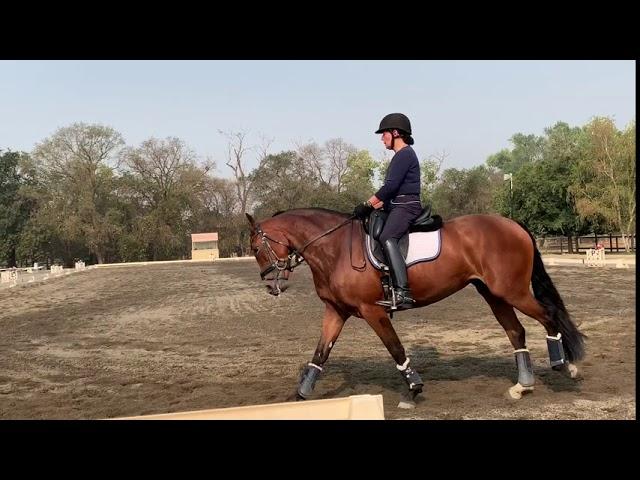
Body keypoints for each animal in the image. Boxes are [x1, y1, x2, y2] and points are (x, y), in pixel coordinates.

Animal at [244, 208, 584, 406]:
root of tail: (514, 225)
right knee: (516, 331)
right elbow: (320, 354)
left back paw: (565, 366)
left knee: (549, 317)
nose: (272, 285)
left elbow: (395, 348)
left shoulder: (373, 311)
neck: (336, 249)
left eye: (256, 247)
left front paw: (414, 388)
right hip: (494, 294)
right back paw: (522, 386)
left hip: (511, 291)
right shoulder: (336, 312)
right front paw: (300, 395)